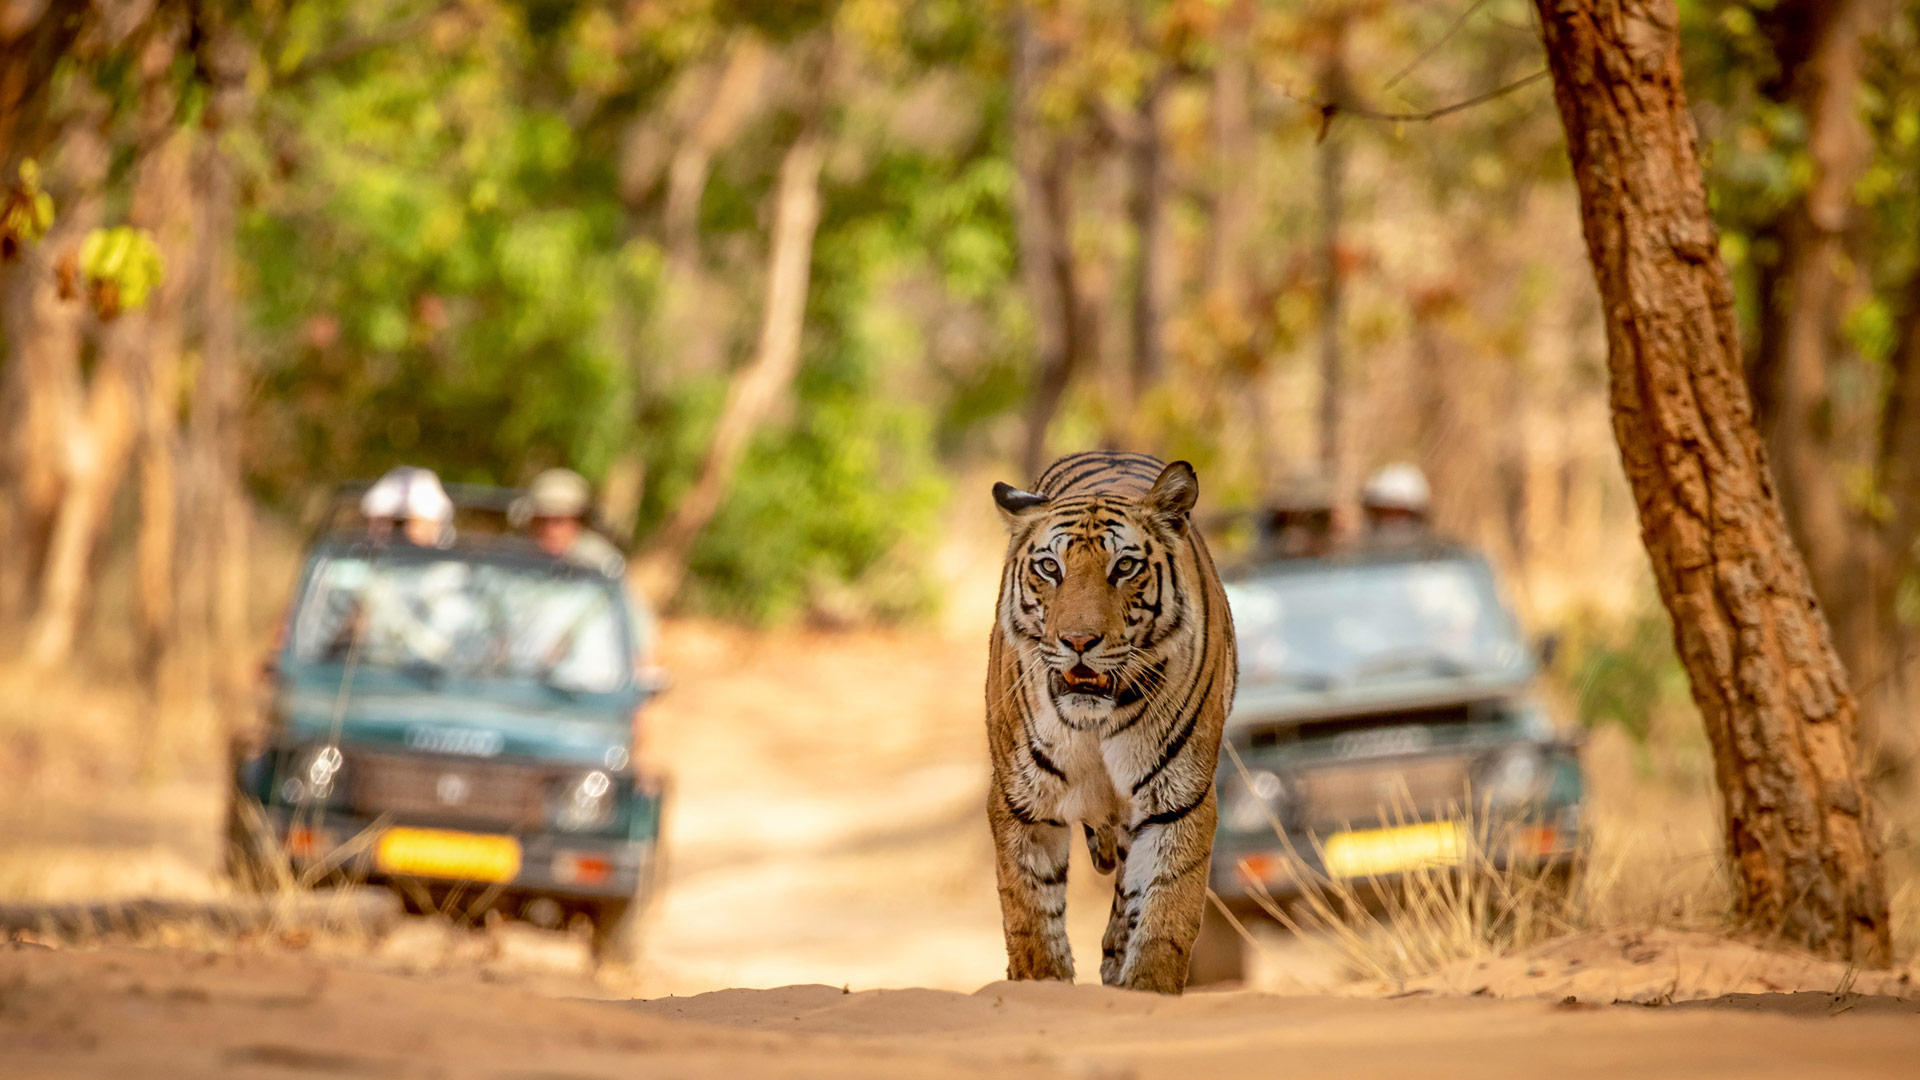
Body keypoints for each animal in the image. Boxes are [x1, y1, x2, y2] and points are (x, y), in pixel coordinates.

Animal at [984, 450, 1236, 994]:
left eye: (1123, 567)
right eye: (1050, 567)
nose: (1078, 641)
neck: (1095, 725)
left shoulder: (1177, 800)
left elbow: (1166, 912)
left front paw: (1147, 988)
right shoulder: (1022, 801)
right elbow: (1030, 915)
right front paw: (1041, 984)